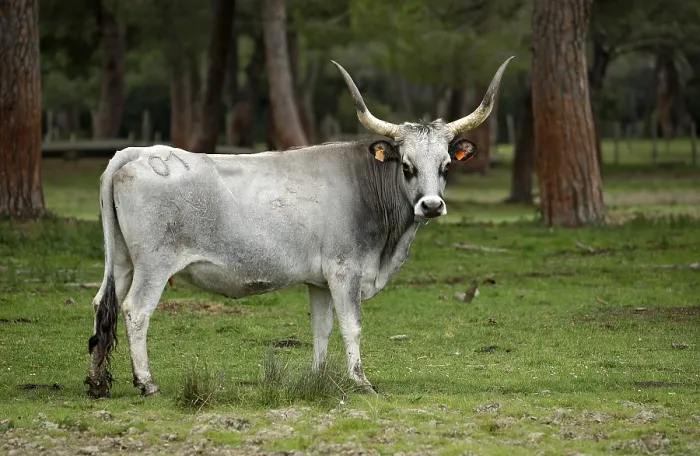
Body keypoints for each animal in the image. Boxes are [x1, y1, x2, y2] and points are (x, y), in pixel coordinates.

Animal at [85, 57, 513, 398]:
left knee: (103, 304)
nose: (431, 205)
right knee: (135, 310)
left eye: (446, 165)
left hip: (121, 262)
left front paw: (319, 379)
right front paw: (361, 382)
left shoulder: (319, 281)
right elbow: (352, 326)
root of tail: (141, 152)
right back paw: (146, 382)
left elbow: (321, 329)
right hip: (153, 266)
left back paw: (97, 381)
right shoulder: (344, 272)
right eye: (406, 166)